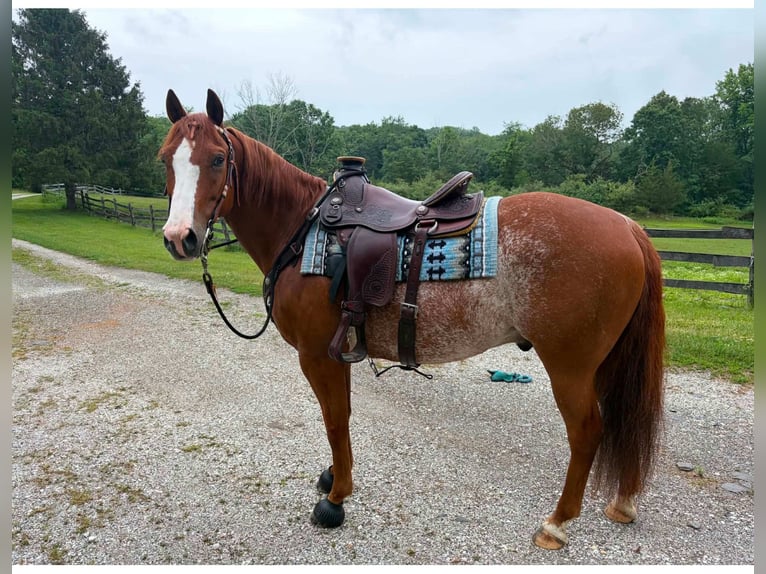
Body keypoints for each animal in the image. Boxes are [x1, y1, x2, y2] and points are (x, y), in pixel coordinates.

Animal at [158, 89, 665, 550]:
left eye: (218, 159)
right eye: (167, 158)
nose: (179, 237)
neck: (305, 232)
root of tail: (626, 225)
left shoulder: (317, 354)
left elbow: (334, 419)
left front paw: (336, 500)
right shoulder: (339, 352)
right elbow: (341, 416)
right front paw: (334, 476)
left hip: (570, 366)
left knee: (588, 432)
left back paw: (556, 523)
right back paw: (623, 503)